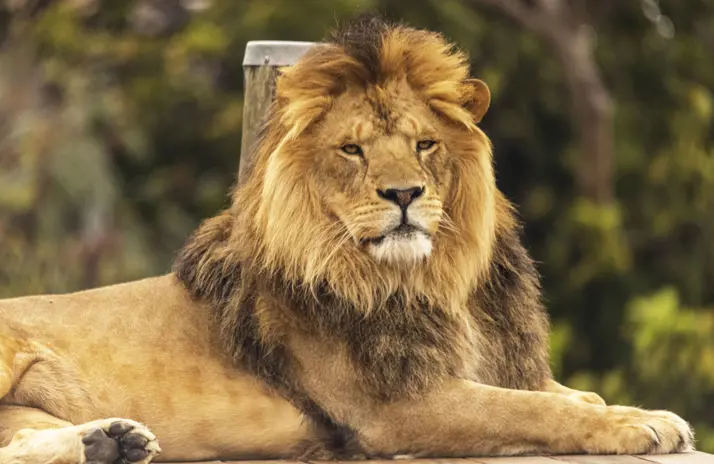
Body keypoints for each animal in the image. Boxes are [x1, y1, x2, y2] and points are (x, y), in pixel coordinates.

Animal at [0, 16, 694, 464]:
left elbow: (564, 392)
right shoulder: (396, 406)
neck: (434, 279)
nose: (404, 194)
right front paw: (640, 423)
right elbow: (534, 410)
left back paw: (109, 441)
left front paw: (631, 408)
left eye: (425, 144)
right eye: (352, 150)